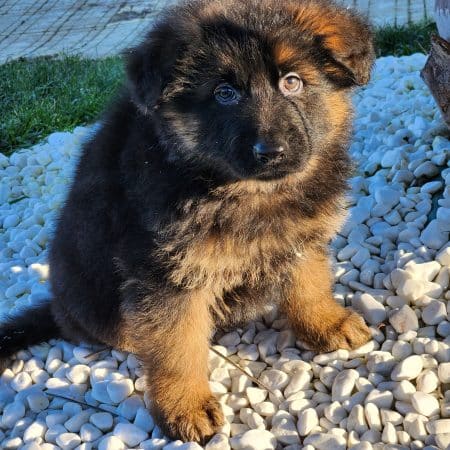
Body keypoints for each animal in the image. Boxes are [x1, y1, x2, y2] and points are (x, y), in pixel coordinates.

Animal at [0, 0, 376, 442]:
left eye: (293, 82)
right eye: (224, 93)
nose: (271, 153)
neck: (240, 189)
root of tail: (58, 308)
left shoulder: (297, 234)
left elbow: (309, 281)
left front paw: (326, 323)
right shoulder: (165, 272)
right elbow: (175, 345)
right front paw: (185, 406)